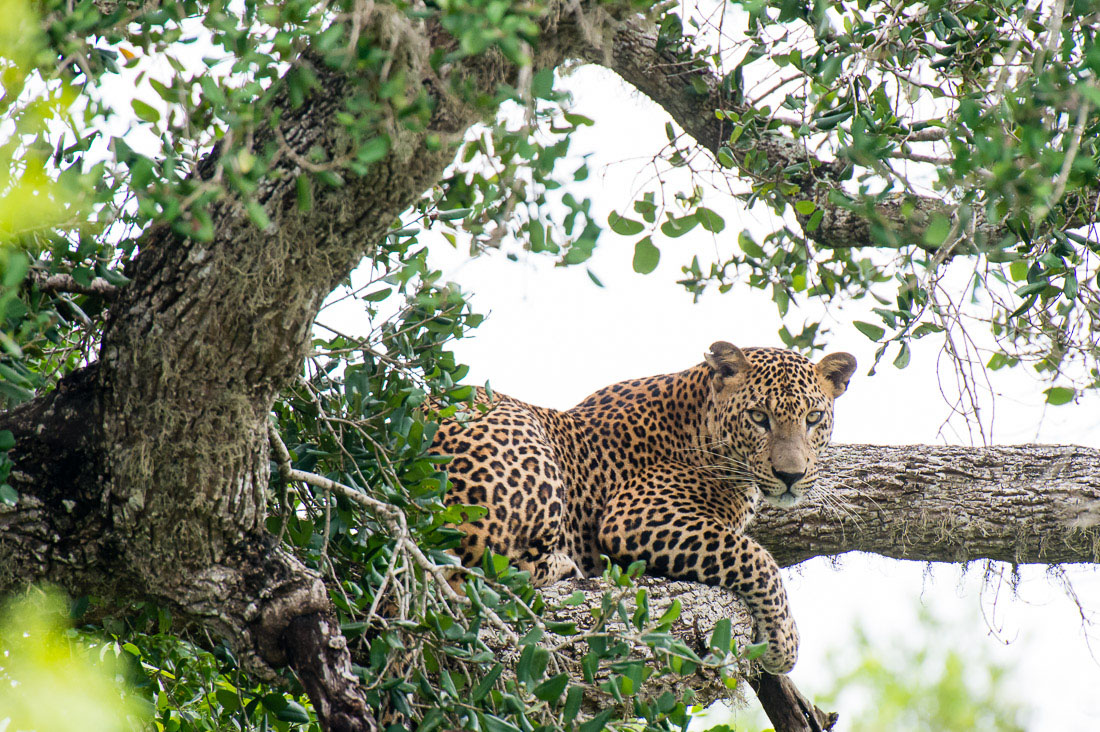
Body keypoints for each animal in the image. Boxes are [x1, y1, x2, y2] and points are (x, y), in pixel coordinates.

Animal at [431, 339, 858, 669]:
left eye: (813, 417)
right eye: (757, 416)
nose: (791, 475)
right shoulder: (636, 517)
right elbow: (755, 556)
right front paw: (783, 642)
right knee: (477, 575)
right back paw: (563, 565)